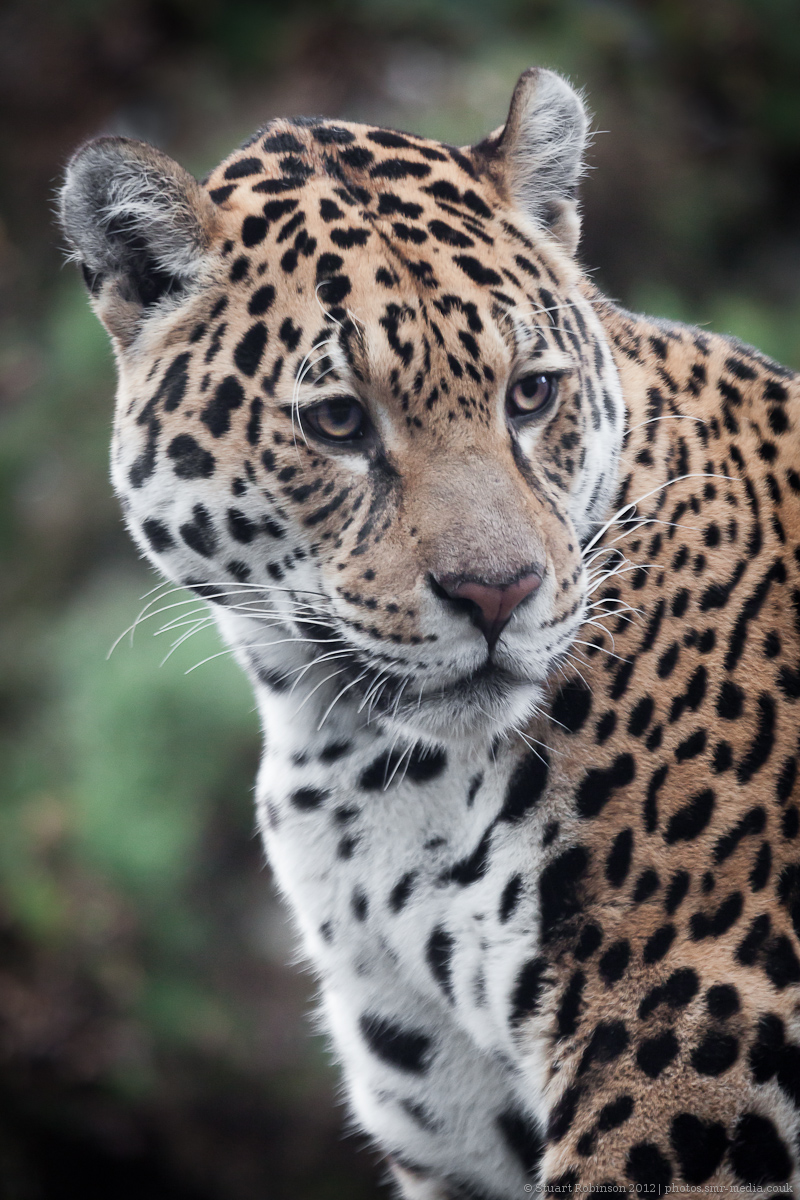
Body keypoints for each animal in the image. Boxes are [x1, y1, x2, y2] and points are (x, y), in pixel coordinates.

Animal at [59, 66, 800, 1198]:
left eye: (530, 394)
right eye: (336, 422)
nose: (497, 594)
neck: (360, 766)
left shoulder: (689, 1059)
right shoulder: (450, 1126)